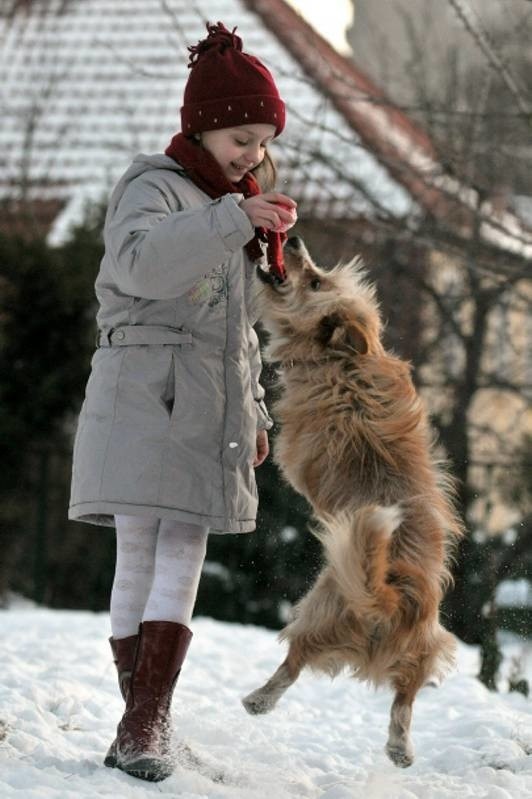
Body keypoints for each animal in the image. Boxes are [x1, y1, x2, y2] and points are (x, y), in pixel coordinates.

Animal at [241, 236, 462, 768]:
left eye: (315, 280)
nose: (295, 239)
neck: (342, 364)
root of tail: (392, 598)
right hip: (430, 646)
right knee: (405, 698)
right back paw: (400, 748)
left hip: (314, 610)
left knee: (293, 662)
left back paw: (259, 699)